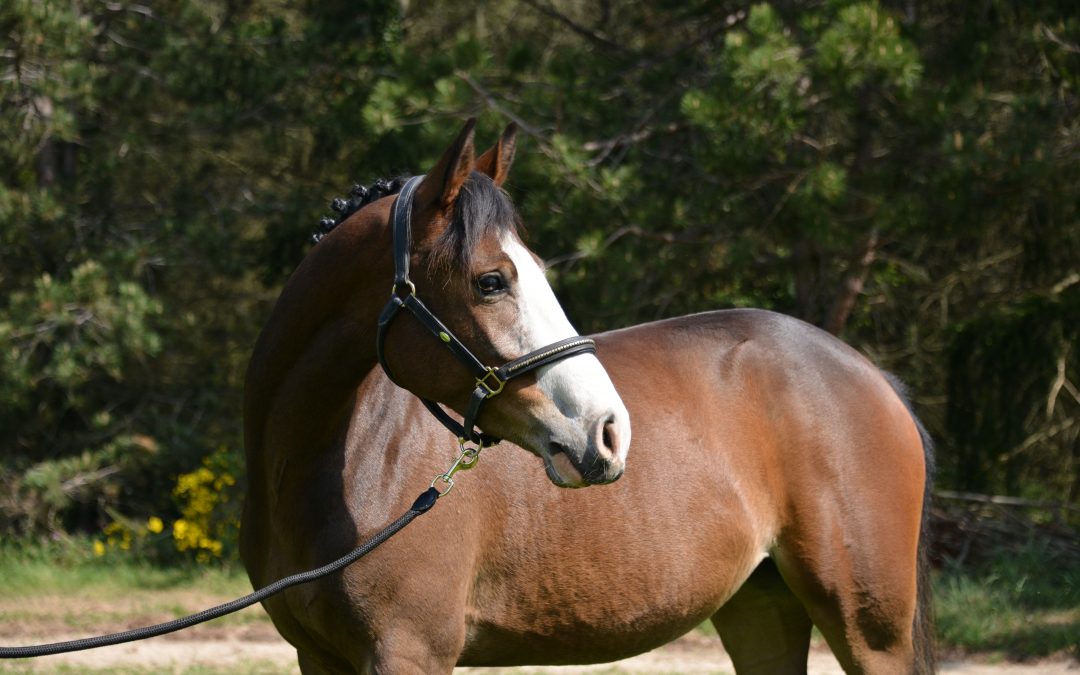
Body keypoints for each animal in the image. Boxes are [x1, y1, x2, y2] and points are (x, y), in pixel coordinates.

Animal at [240, 120, 933, 673]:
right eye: (491, 281)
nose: (610, 431)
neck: (338, 462)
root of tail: (873, 377)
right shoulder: (319, 657)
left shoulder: (409, 652)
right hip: (761, 610)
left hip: (869, 631)